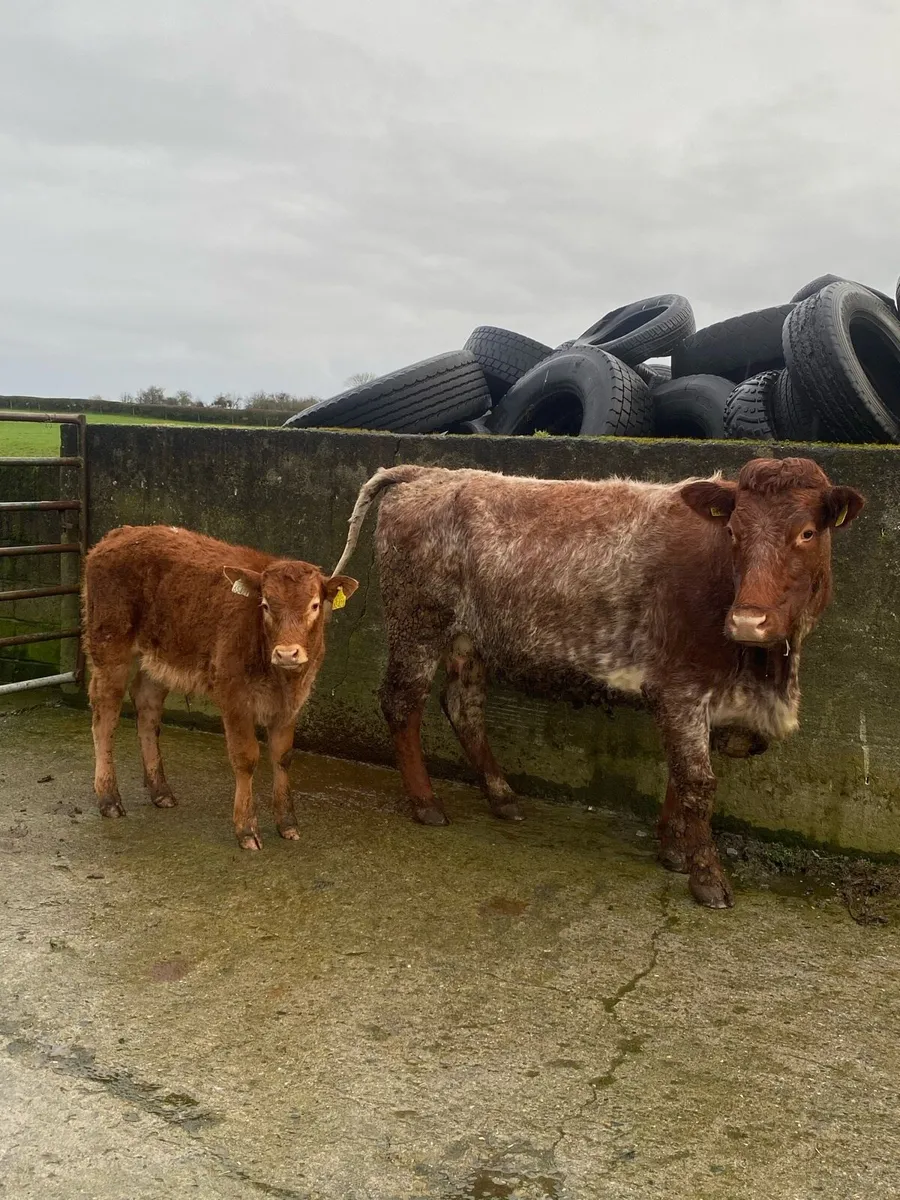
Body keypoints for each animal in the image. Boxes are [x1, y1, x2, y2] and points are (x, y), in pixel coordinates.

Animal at [82, 525, 358, 849]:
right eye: (265, 605)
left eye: (314, 605)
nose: (287, 653)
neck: (279, 678)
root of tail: (118, 534)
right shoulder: (234, 696)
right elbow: (246, 757)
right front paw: (246, 828)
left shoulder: (292, 701)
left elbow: (283, 756)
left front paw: (287, 823)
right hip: (109, 646)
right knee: (105, 716)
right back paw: (109, 798)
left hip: (161, 657)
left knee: (147, 709)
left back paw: (160, 791)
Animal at [330, 457, 864, 908]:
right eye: (733, 531)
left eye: (808, 532)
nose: (748, 621)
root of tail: (428, 472)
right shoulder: (680, 689)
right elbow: (697, 782)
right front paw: (706, 875)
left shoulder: (698, 700)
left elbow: (678, 774)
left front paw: (674, 850)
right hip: (417, 624)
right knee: (402, 702)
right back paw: (426, 803)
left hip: (468, 639)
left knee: (463, 706)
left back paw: (502, 796)